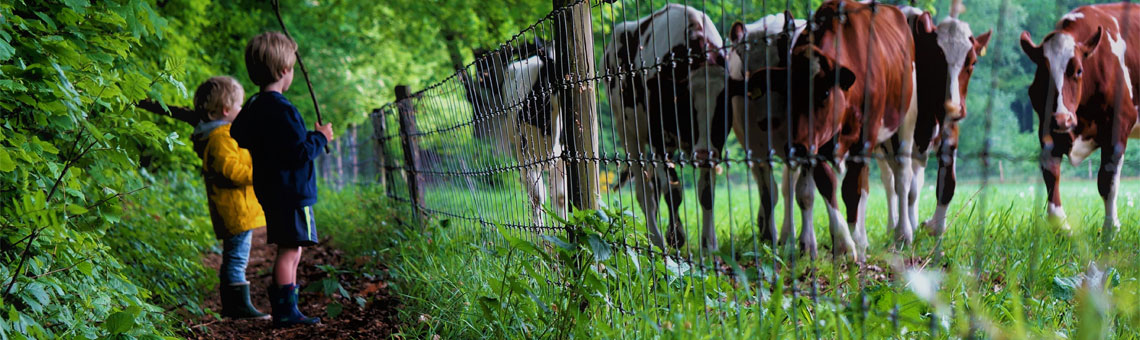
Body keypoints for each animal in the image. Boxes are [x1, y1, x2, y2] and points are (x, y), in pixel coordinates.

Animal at [606, 3, 729, 251]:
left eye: (722, 107)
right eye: (688, 105)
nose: (703, 153)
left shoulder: (715, 147)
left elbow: (706, 194)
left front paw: (709, 245)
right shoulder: (659, 139)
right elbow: (673, 191)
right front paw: (676, 237)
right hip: (628, 132)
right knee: (646, 193)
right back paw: (656, 240)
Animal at [747, 0, 916, 260]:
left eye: (825, 92)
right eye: (786, 93)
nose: (795, 148)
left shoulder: (864, 140)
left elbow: (852, 189)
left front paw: (858, 241)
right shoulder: (814, 143)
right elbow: (826, 185)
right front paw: (844, 243)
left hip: (905, 121)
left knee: (902, 176)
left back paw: (903, 234)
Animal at [875, 6, 994, 237]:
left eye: (973, 62)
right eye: (936, 60)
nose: (954, 107)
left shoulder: (948, 128)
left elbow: (946, 184)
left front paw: (936, 228)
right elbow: (902, 183)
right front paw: (904, 230)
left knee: (915, 181)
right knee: (890, 182)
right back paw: (893, 225)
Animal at [1021, 2, 1135, 237]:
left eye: (1079, 71)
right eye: (1042, 75)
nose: (1062, 119)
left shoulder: (1119, 125)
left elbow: (1107, 180)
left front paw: (1110, 229)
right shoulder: (1046, 129)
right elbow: (1050, 174)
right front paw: (1061, 227)